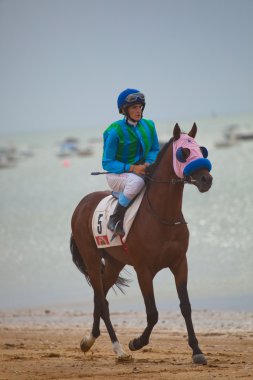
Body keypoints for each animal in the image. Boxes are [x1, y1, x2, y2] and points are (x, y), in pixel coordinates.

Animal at [70, 123, 212, 364]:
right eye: (183, 152)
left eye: (202, 150)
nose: (206, 179)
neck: (162, 216)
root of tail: (81, 205)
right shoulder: (144, 270)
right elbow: (153, 313)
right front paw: (136, 342)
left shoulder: (179, 263)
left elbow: (185, 307)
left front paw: (197, 350)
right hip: (91, 257)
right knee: (103, 302)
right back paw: (119, 350)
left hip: (114, 263)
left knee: (99, 298)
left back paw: (89, 339)